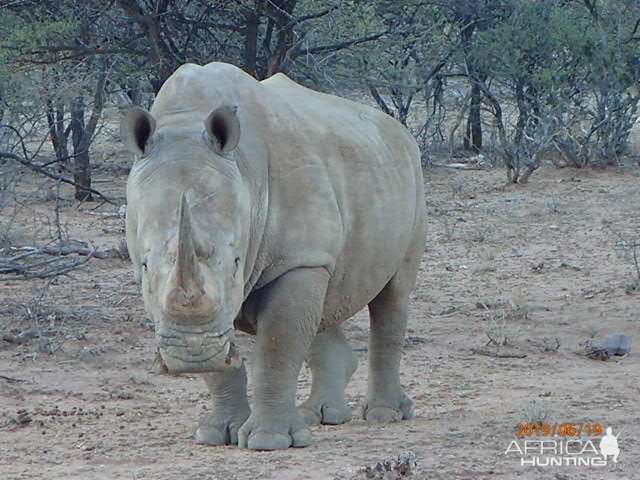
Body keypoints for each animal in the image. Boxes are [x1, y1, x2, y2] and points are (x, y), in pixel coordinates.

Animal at [122, 62, 428, 450]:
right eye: (145, 267)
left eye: (237, 264)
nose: (191, 357)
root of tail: (397, 130)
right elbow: (228, 361)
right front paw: (217, 434)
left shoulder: (296, 259)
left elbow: (277, 346)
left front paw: (268, 441)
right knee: (327, 298)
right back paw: (322, 416)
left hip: (411, 178)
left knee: (393, 294)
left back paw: (384, 415)